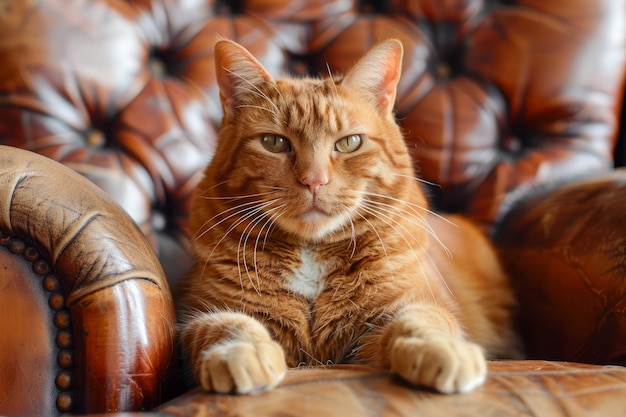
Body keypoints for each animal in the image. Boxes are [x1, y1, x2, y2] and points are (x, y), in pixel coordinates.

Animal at [174, 39, 516, 396]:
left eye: (349, 143)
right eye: (274, 142)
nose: (314, 180)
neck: (311, 254)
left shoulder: (406, 309)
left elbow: (423, 320)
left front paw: (445, 350)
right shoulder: (198, 313)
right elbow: (228, 325)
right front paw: (242, 353)